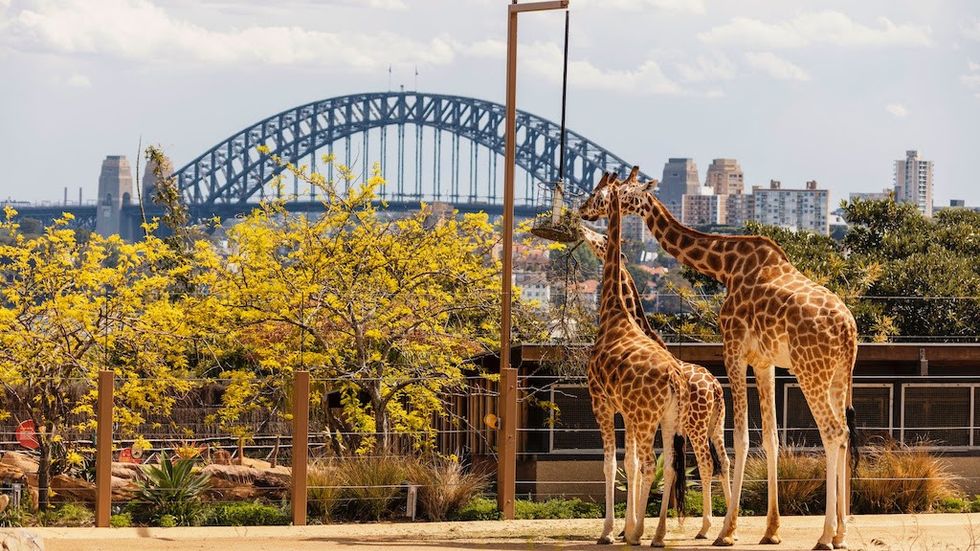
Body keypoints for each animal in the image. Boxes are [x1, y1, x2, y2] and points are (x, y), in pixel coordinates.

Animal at [577, 221, 732, 541]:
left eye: (602, 240)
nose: (584, 231)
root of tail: (715, 387)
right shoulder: (634, 415)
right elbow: (633, 463)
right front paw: (629, 527)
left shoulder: (619, 408)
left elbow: (625, 464)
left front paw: (621, 529)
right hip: (716, 424)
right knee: (724, 461)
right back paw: (725, 527)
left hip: (695, 426)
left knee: (705, 464)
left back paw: (705, 527)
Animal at [586, 172, 688, 546]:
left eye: (597, 195)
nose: (581, 212)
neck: (613, 312)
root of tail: (674, 378)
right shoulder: (626, 411)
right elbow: (627, 464)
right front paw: (626, 526)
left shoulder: (600, 400)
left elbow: (611, 464)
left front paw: (609, 531)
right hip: (670, 418)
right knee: (669, 465)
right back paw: (657, 534)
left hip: (649, 418)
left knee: (649, 464)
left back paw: (643, 533)